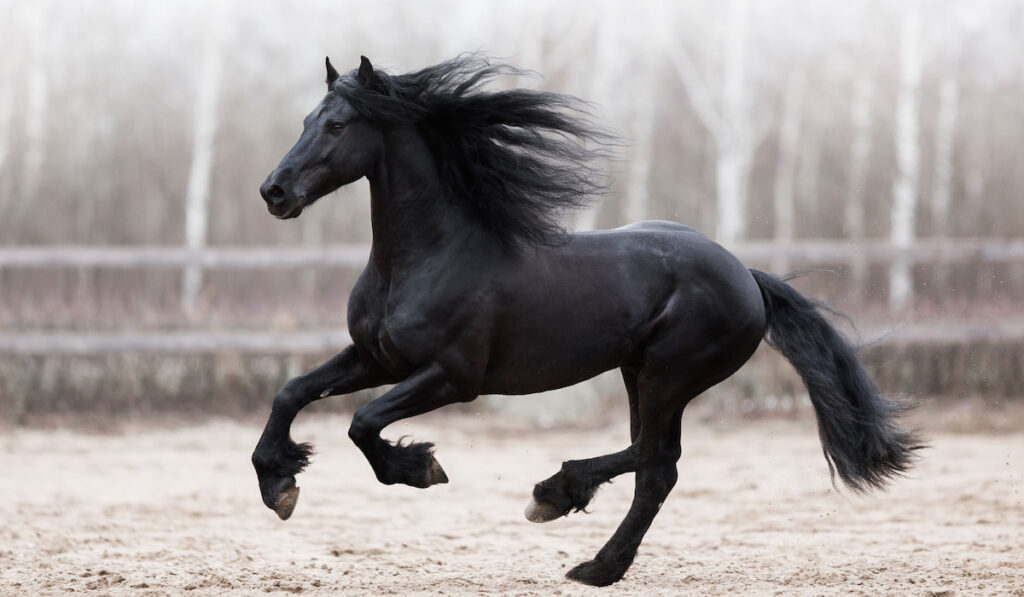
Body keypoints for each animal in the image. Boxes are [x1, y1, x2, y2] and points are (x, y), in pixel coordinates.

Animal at [251, 57, 925, 589]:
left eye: (337, 125)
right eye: (307, 120)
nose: (274, 193)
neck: (427, 256)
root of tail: (745, 275)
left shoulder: (451, 376)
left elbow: (363, 423)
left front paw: (417, 469)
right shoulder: (374, 358)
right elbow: (290, 394)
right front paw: (280, 485)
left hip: (668, 375)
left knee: (656, 464)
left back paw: (578, 535)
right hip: (636, 371)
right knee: (653, 458)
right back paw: (576, 525)